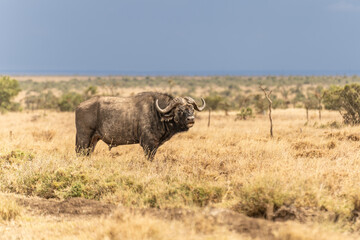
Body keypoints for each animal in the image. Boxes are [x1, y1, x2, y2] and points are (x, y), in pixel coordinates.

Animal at [75, 91, 205, 159]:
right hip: (83, 138)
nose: (191, 119)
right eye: (179, 110)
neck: (157, 113)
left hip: (93, 141)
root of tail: (79, 105)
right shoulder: (148, 145)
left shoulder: (154, 146)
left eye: (191, 109)